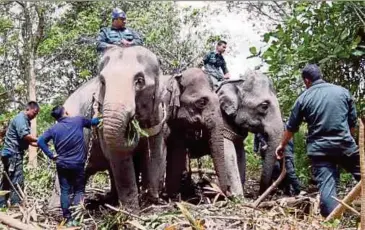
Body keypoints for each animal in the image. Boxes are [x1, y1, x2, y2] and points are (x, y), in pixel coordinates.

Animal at [47, 45, 166, 210]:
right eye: (103, 82)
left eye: (140, 81)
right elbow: (120, 159)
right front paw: (131, 212)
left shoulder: (157, 116)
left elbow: (154, 154)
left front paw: (152, 203)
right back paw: (57, 209)